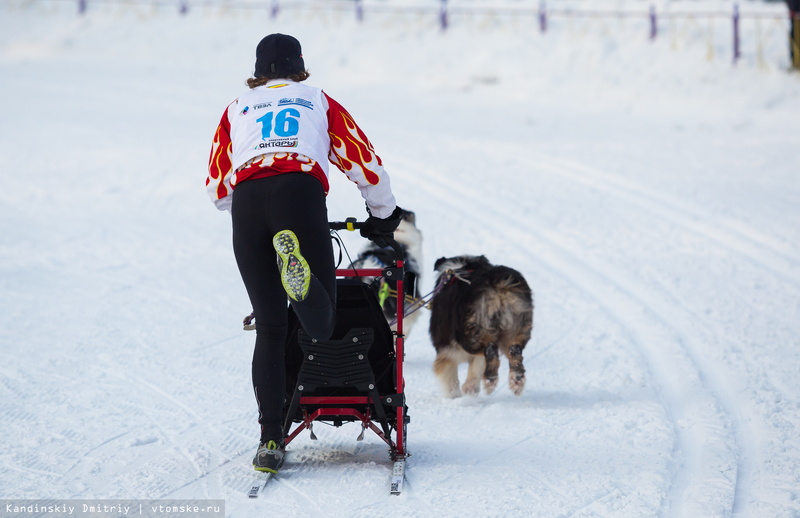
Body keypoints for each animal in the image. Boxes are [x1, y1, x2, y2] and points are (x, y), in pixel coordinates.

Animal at [428, 256, 536, 398]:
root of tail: (499, 283)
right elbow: (476, 366)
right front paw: (470, 389)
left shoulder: (446, 348)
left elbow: (450, 375)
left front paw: (455, 395)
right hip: (516, 328)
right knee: (514, 353)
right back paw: (516, 381)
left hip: (471, 333)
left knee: (491, 351)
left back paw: (490, 381)